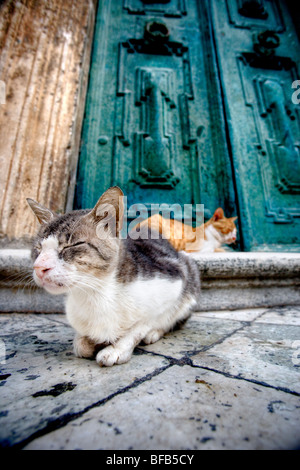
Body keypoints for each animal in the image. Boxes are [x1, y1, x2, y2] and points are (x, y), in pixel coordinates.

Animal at [26, 187, 199, 368]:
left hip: (190, 269)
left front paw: (117, 348)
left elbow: (143, 323)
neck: (96, 294)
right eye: (38, 248)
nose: (39, 267)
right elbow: (80, 346)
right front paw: (90, 342)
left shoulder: (173, 281)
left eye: (72, 245)